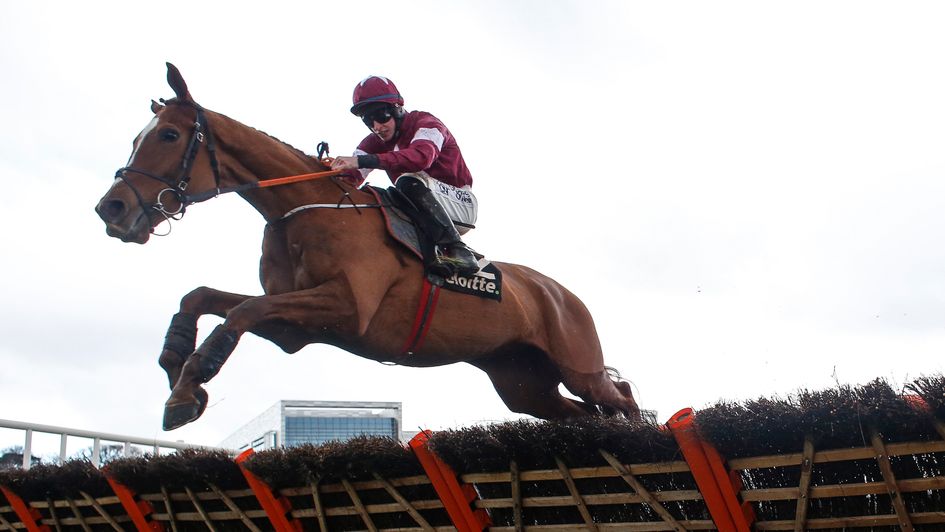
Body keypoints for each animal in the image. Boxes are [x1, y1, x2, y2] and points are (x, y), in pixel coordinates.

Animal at [95, 63, 641, 430]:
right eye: (140, 137)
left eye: (169, 135)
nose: (111, 209)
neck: (300, 209)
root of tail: (565, 295)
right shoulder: (292, 326)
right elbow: (205, 298)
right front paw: (176, 366)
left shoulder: (346, 309)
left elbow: (239, 312)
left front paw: (190, 384)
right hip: (524, 383)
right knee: (585, 413)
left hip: (578, 366)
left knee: (622, 396)